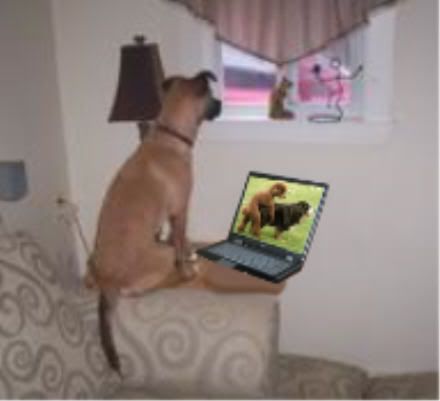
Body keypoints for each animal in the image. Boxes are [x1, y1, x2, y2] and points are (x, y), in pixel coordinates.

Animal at [85, 70, 221, 376]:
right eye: (212, 97)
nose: (221, 105)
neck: (170, 135)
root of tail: (108, 283)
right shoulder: (180, 211)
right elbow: (181, 242)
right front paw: (188, 268)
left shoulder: (172, 217)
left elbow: (181, 240)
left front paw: (190, 254)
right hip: (159, 256)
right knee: (140, 288)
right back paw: (170, 278)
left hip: (92, 262)